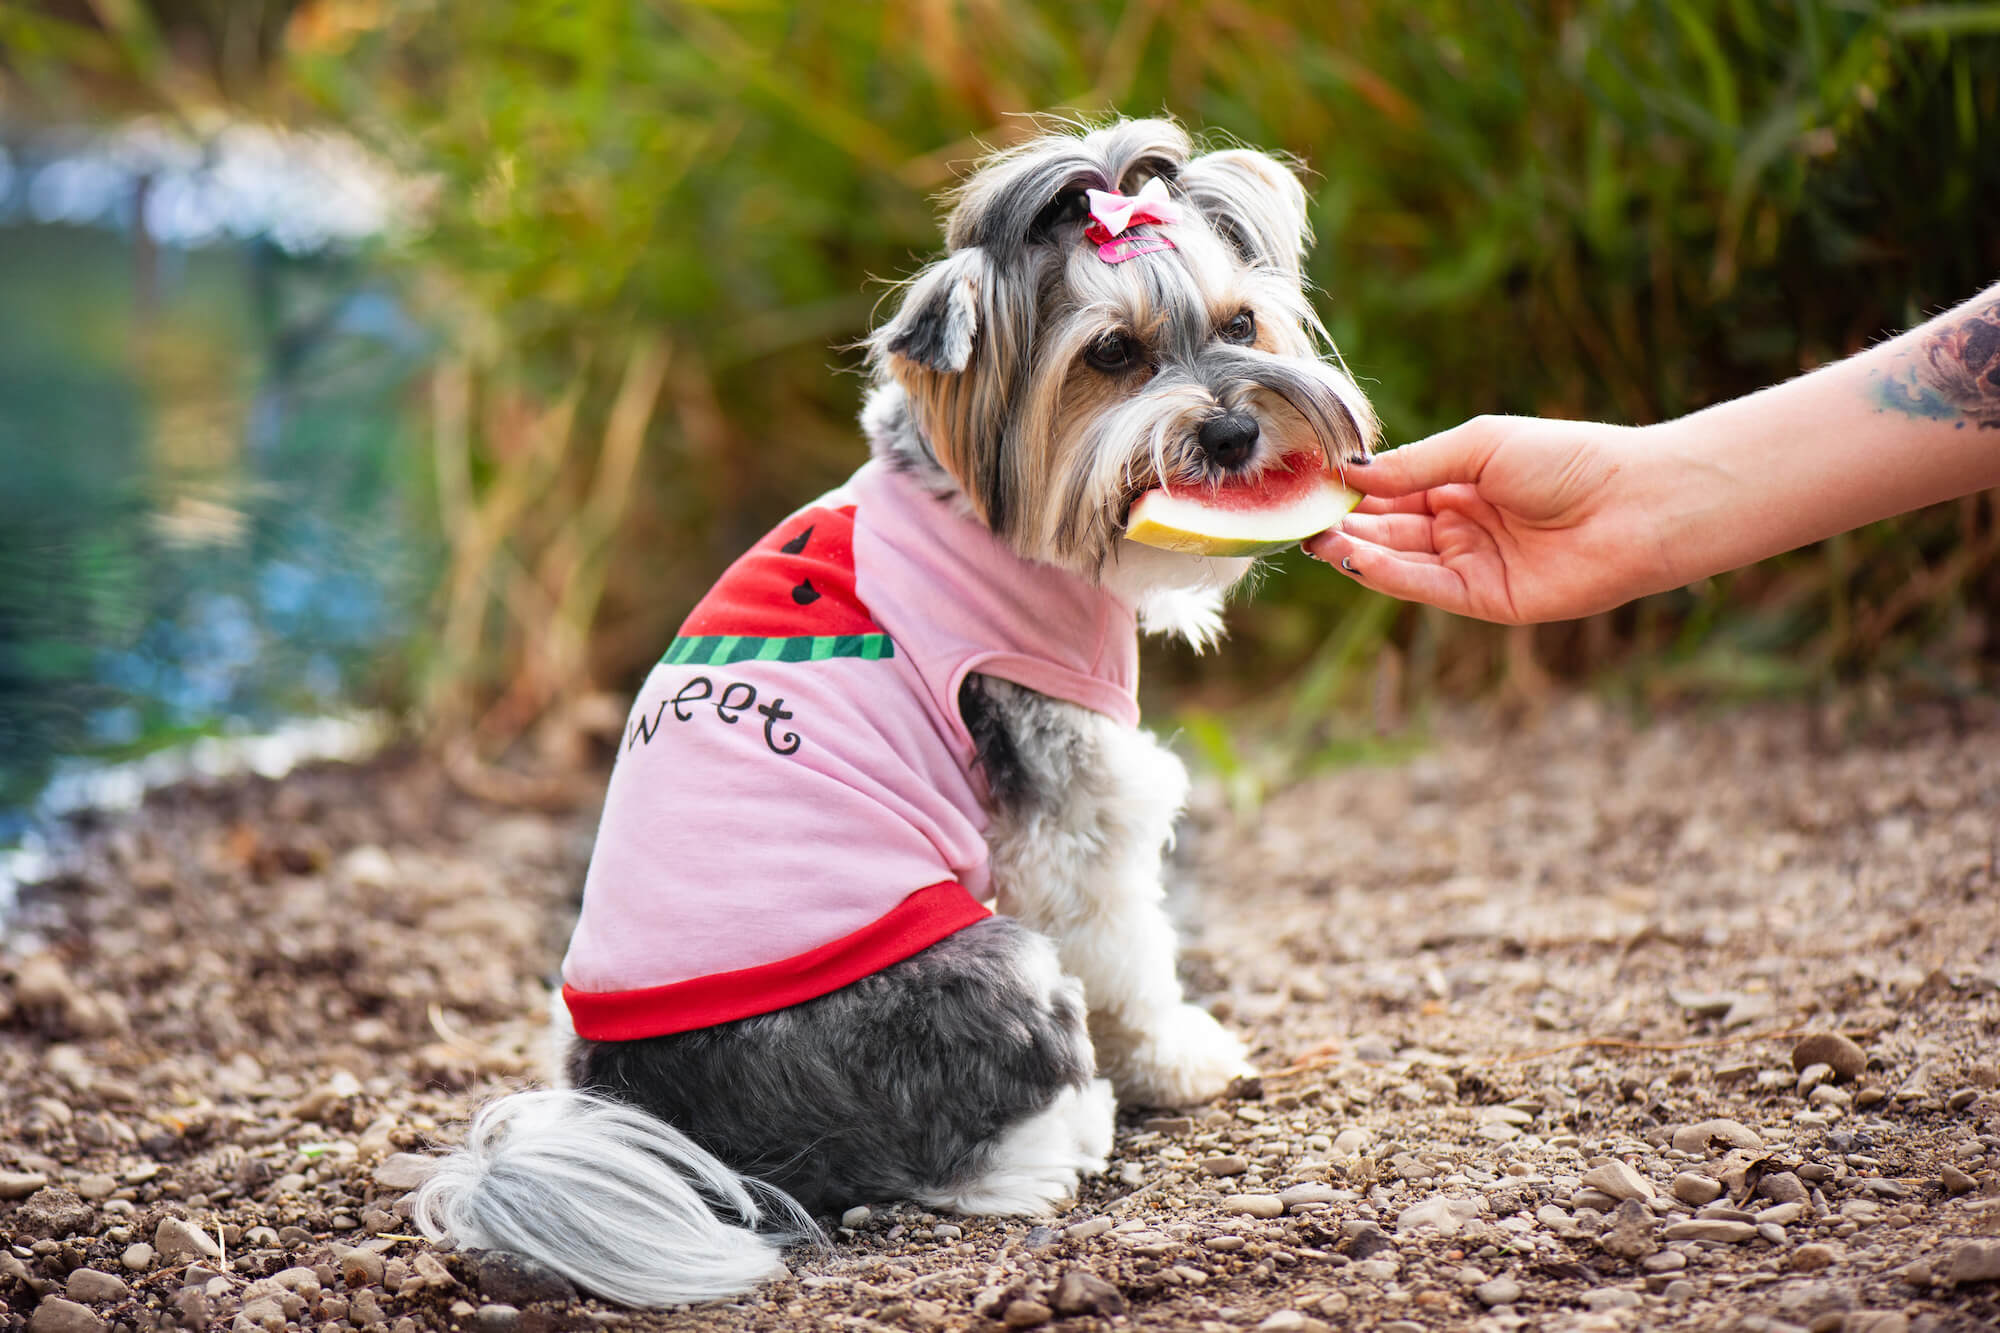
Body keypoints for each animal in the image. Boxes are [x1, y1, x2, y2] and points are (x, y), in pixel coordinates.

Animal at [406, 114, 1376, 1296]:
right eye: (1110, 355)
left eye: (1241, 321)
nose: (1233, 434)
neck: (977, 507)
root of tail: (654, 1117)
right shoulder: (1070, 793)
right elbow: (1126, 943)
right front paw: (1178, 1057)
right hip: (986, 964)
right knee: (979, 1150)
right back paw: (1069, 1134)